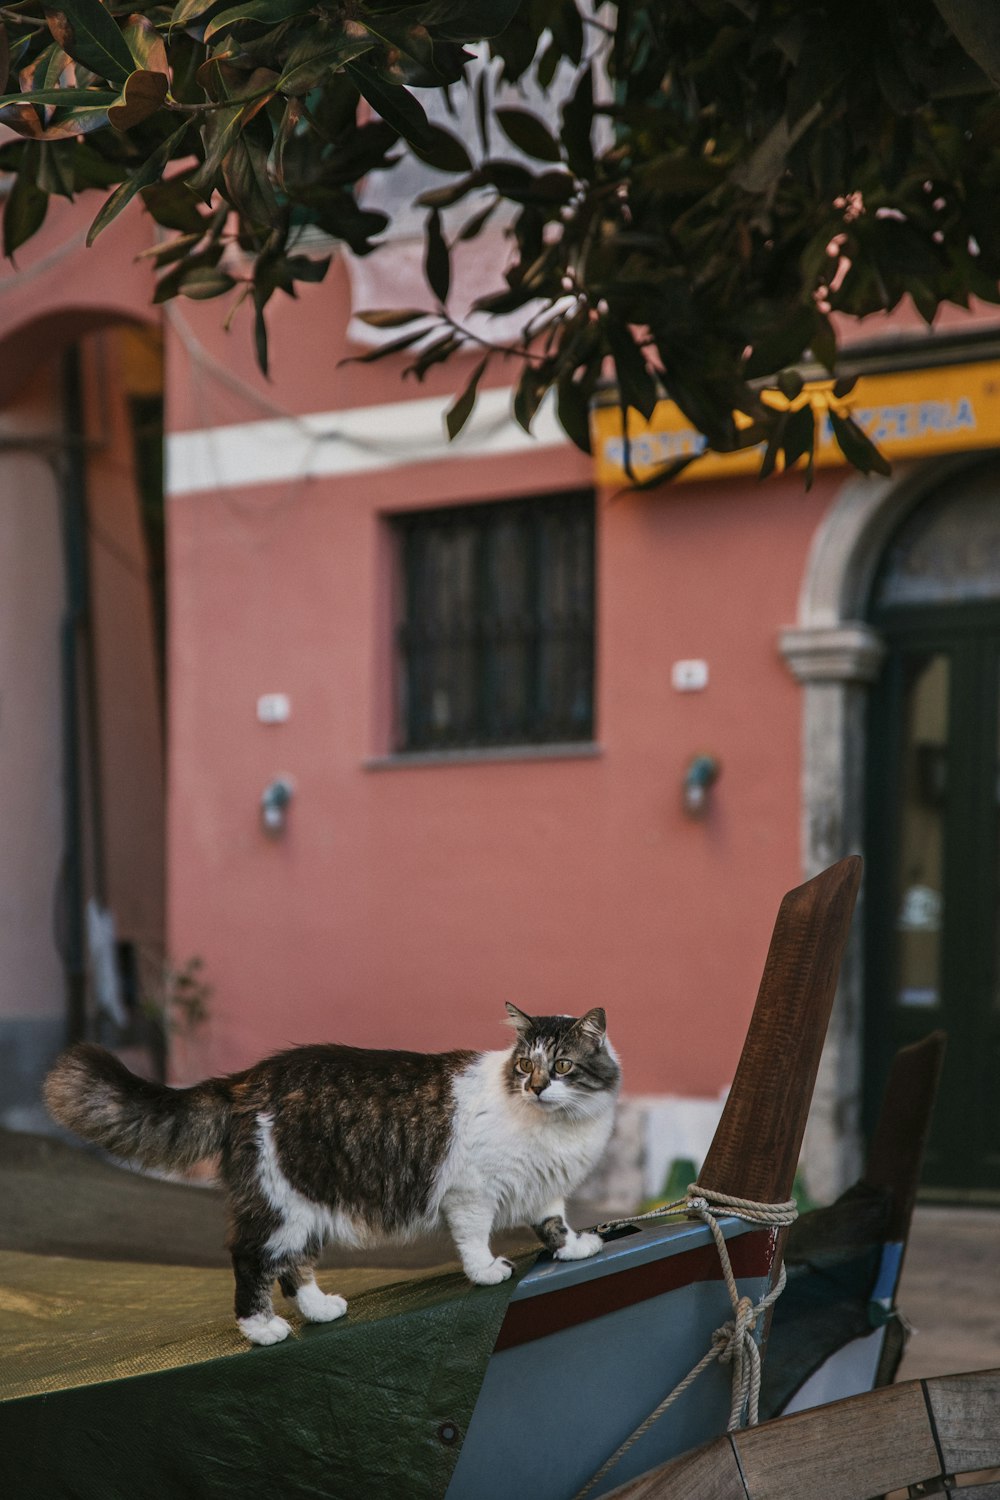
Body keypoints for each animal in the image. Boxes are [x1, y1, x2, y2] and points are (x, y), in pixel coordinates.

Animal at [44, 1002, 617, 1344]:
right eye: (525, 1066)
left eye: (561, 1066)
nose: (536, 1087)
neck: (558, 1126)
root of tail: (246, 1079)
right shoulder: (471, 1193)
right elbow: (475, 1241)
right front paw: (487, 1272)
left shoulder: (544, 1190)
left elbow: (554, 1223)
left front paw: (574, 1248)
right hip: (280, 1203)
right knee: (251, 1260)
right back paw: (262, 1329)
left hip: (307, 1207)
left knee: (294, 1269)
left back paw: (320, 1309)